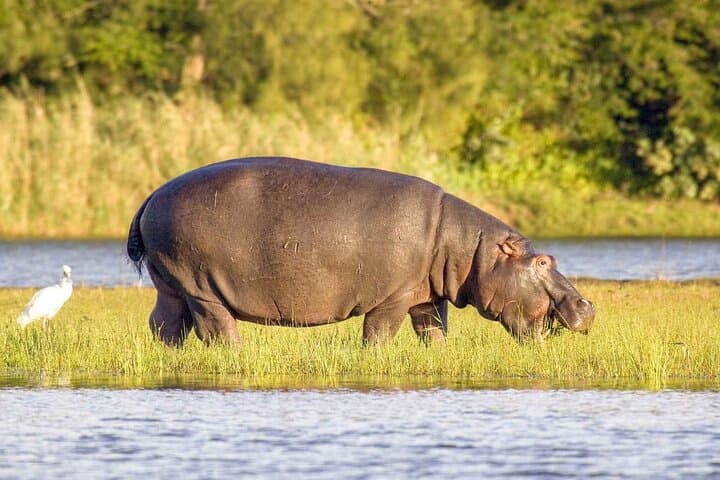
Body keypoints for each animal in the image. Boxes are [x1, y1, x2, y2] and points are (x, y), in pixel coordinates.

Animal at [127, 157, 594, 346]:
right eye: (542, 261)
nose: (587, 306)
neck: (470, 249)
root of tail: (151, 194)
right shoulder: (392, 297)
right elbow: (379, 335)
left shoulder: (426, 297)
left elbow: (434, 332)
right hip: (200, 286)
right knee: (217, 329)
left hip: (170, 283)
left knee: (164, 325)